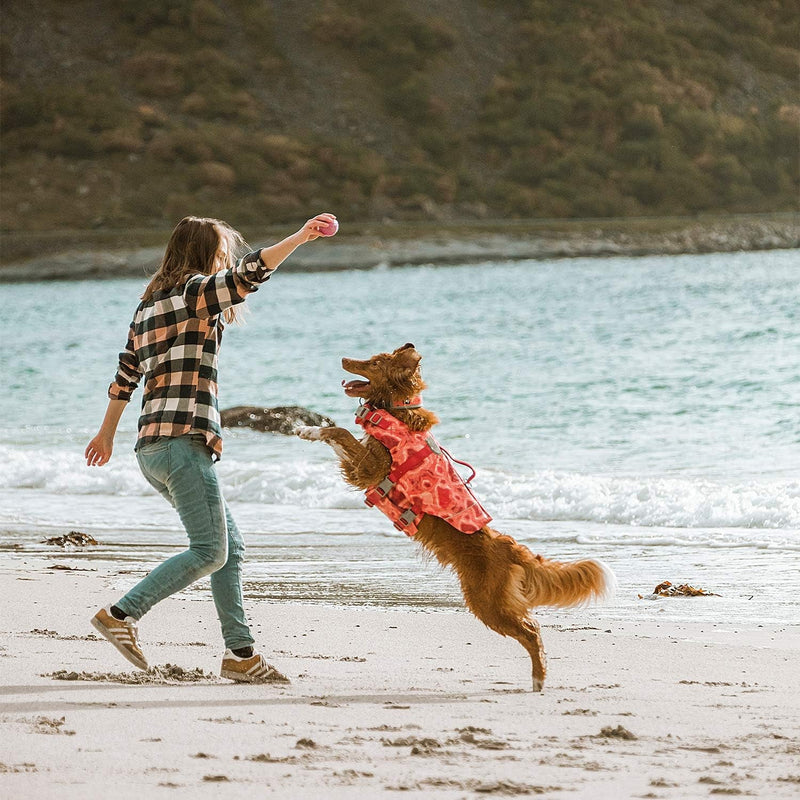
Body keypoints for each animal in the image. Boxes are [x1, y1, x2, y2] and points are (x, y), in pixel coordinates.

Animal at [296, 342, 616, 688]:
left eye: (375, 362)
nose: (343, 358)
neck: (396, 409)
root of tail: (507, 546)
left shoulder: (371, 468)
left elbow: (339, 431)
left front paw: (306, 429)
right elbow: (338, 431)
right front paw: (306, 427)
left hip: (487, 604)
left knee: (532, 631)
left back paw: (538, 679)